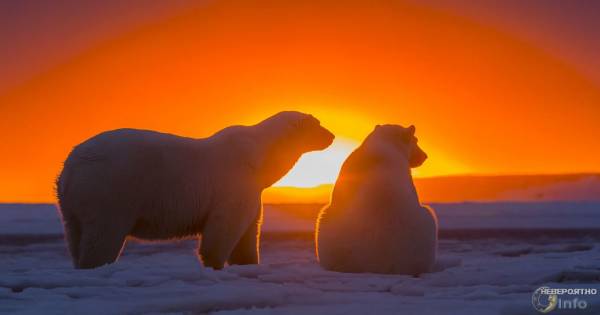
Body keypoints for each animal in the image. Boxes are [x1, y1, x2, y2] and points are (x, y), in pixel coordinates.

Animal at [56, 111, 336, 270]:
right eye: (319, 124)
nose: (332, 136)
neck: (260, 158)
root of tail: (71, 167)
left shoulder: (252, 191)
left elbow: (249, 229)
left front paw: (248, 262)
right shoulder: (233, 184)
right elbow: (225, 227)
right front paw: (214, 264)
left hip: (73, 205)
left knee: (75, 233)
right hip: (111, 190)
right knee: (104, 233)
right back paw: (96, 265)